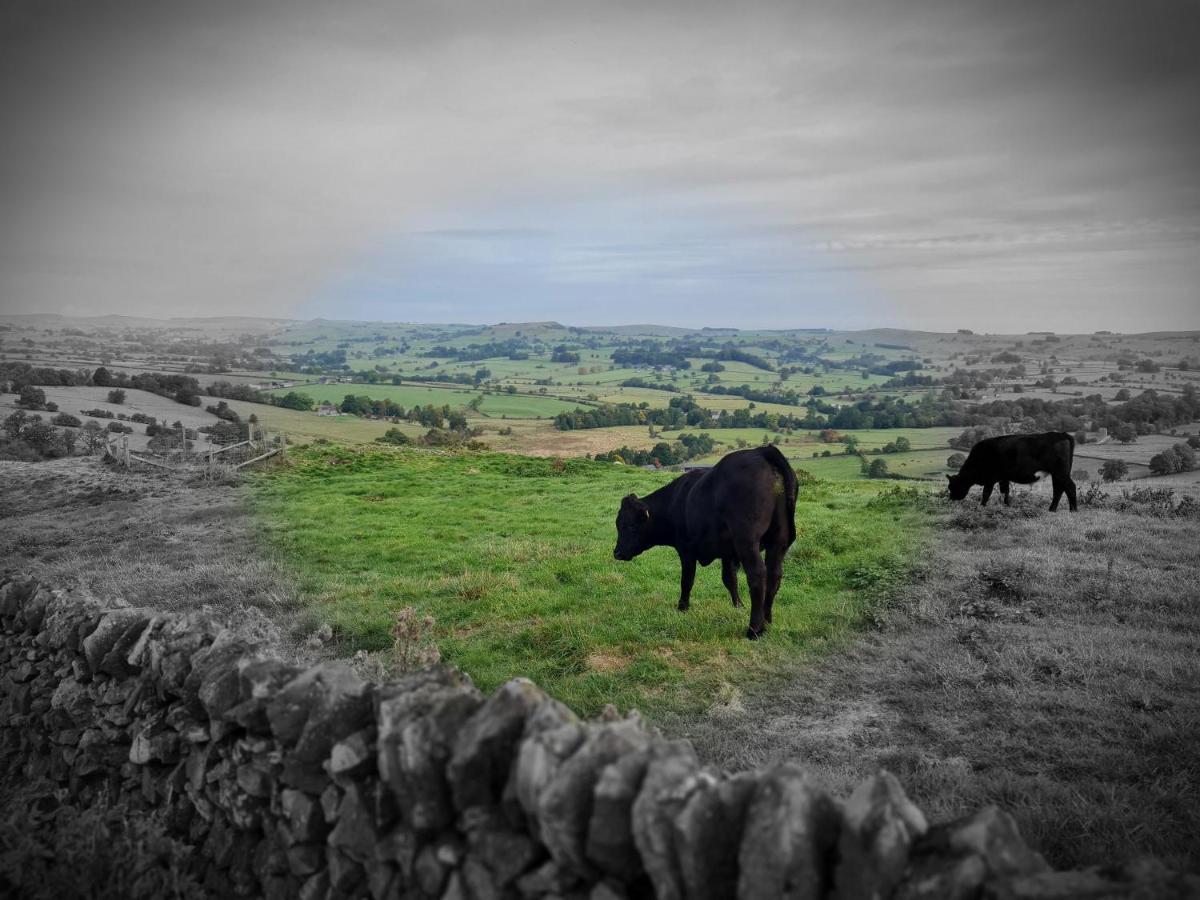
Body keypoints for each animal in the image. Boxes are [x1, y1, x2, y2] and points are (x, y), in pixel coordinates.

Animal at [609, 446, 796, 643]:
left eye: (629, 525)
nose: (617, 552)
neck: (675, 502)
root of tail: (761, 451)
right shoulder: (728, 553)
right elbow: (730, 579)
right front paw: (738, 605)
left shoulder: (687, 551)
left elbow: (687, 581)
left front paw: (682, 607)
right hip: (778, 542)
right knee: (774, 576)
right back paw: (767, 623)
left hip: (747, 541)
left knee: (758, 576)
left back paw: (754, 630)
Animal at [945, 432, 1080, 511]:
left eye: (952, 487)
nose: (951, 499)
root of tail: (1061, 434)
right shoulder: (1003, 478)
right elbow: (1005, 492)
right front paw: (1006, 506)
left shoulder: (990, 479)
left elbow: (986, 494)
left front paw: (981, 507)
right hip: (1059, 473)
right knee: (1059, 489)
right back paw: (1054, 509)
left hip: (1060, 472)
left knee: (1069, 487)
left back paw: (1072, 510)